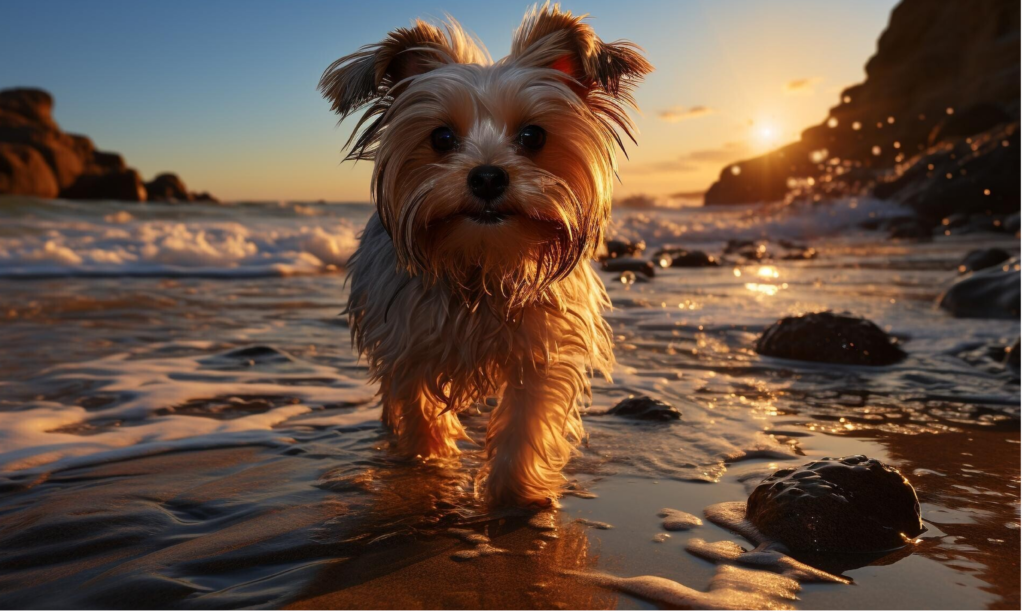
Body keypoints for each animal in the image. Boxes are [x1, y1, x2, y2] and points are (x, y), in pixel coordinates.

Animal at [319, 2, 651, 505]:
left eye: (533, 136)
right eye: (441, 138)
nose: (488, 176)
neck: (482, 263)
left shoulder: (543, 347)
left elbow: (526, 419)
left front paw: (514, 494)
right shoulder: (405, 342)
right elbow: (416, 404)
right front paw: (428, 465)